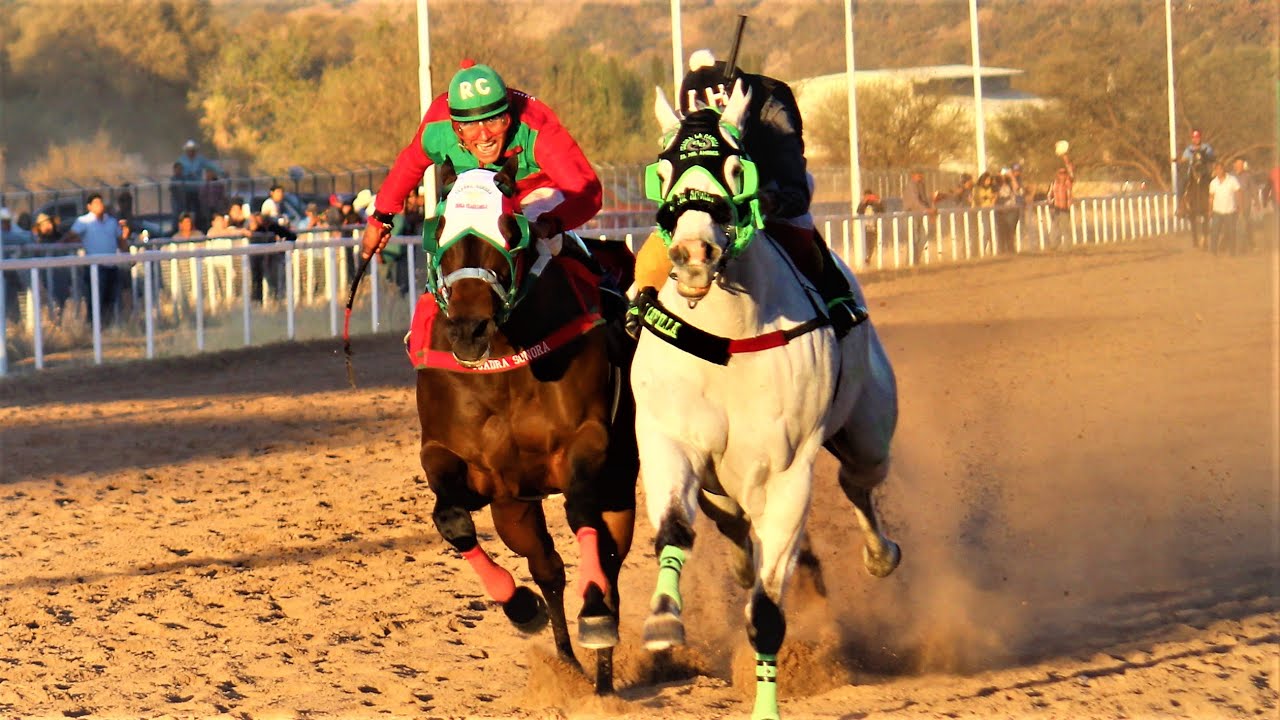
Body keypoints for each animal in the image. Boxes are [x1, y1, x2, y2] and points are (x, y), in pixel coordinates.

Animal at [406, 158, 638, 694]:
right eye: (440, 228)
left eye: (509, 229)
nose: (469, 331)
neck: (504, 371)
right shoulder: (457, 460)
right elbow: (452, 519)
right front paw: (518, 605)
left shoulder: (587, 442)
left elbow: (581, 510)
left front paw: (594, 614)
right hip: (514, 508)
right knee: (547, 566)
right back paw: (568, 664)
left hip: (621, 478)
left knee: (610, 558)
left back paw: (601, 670)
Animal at [629, 81, 902, 719]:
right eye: (663, 169)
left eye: (734, 166)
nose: (694, 253)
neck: (729, 338)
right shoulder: (668, 441)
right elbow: (674, 530)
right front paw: (662, 621)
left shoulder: (788, 474)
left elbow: (768, 609)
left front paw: (766, 705)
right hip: (722, 480)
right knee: (732, 523)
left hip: (869, 433)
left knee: (858, 481)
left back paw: (880, 555)